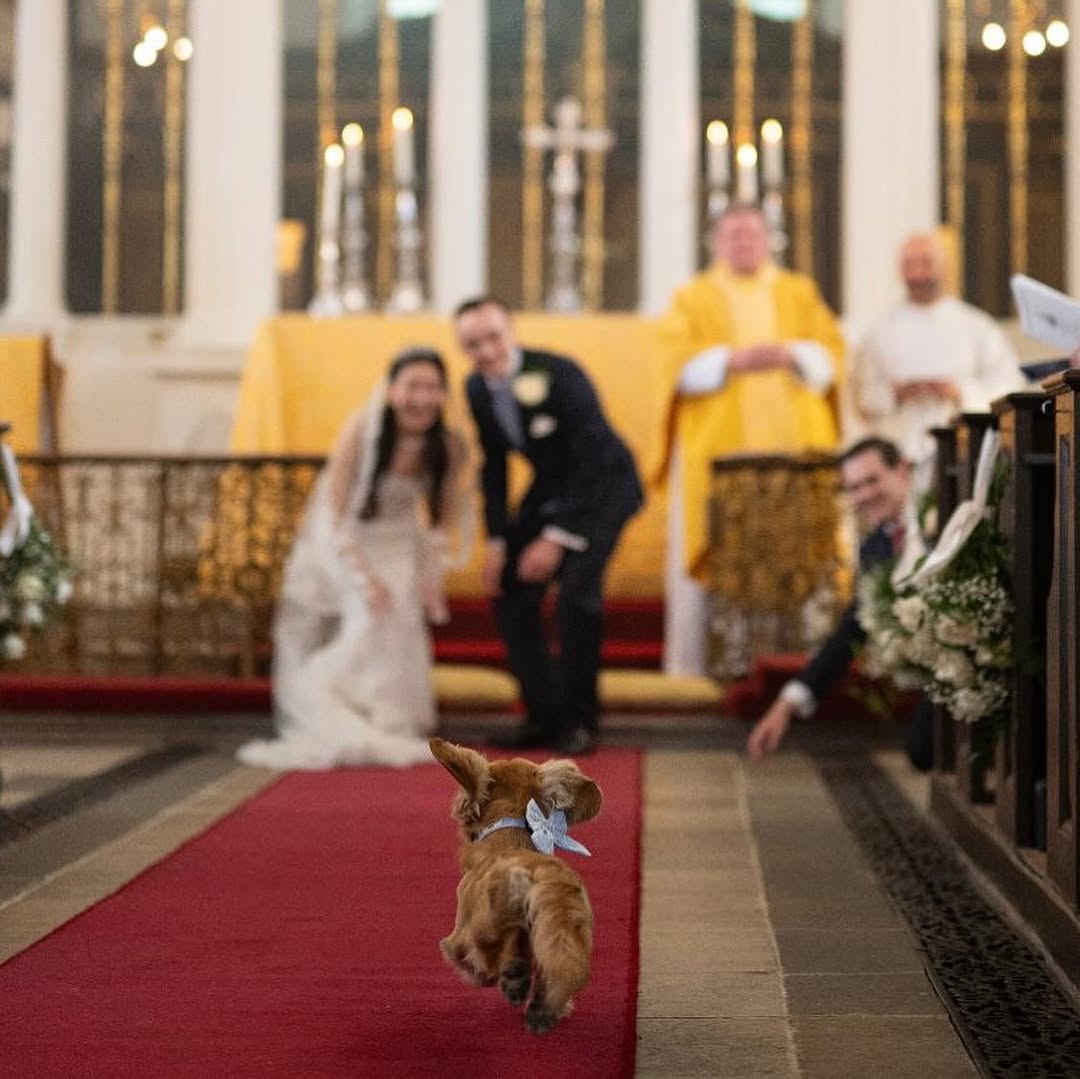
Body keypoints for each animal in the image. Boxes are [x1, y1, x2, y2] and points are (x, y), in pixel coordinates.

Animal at [429, 737, 603, 1034]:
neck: (509, 839)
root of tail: (541, 875)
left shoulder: (465, 928)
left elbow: (473, 956)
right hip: (565, 931)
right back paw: (539, 1008)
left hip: (478, 926)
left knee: (484, 953)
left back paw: (513, 981)